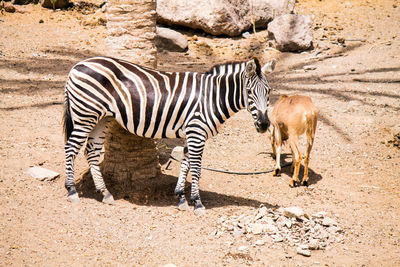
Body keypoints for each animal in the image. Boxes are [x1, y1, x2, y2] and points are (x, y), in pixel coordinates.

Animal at [63, 56, 276, 214]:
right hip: (86, 115)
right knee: (70, 148)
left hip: (101, 118)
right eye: (249, 91)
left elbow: (185, 163)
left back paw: (105, 193)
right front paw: (197, 203)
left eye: (268, 91)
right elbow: (196, 169)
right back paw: (72, 191)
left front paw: (181, 197)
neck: (211, 97)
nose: (264, 124)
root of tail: (77, 65)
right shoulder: (196, 131)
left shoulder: (192, 132)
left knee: (92, 151)